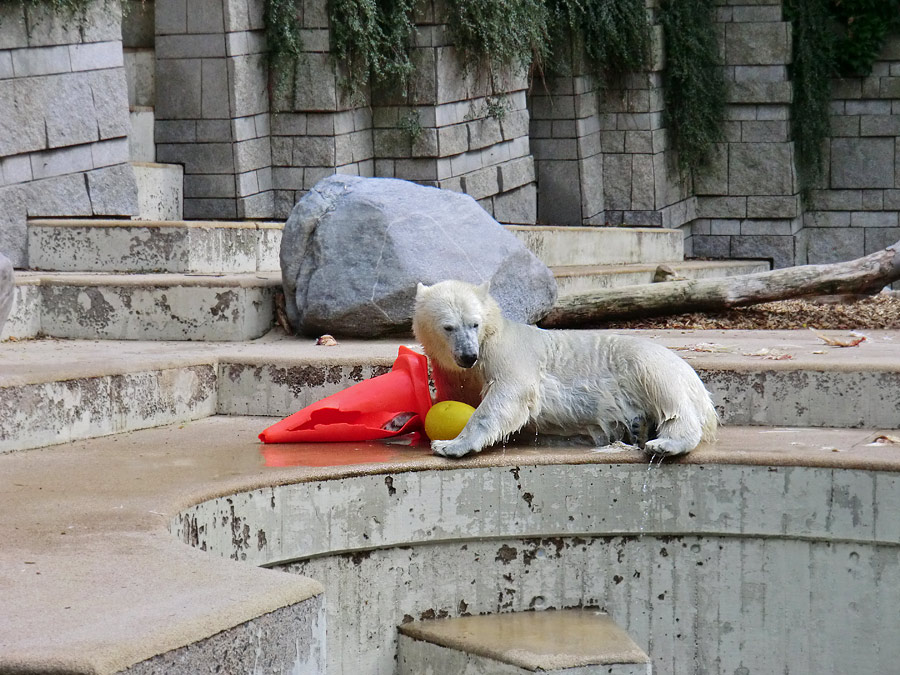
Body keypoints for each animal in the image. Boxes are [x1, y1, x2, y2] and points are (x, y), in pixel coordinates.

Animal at [414, 278, 716, 460]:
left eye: (474, 323)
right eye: (448, 327)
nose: (468, 356)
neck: (491, 334)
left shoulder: (508, 354)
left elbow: (507, 396)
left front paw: (449, 445)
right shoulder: (455, 373)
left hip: (650, 364)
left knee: (669, 399)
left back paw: (664, 443)